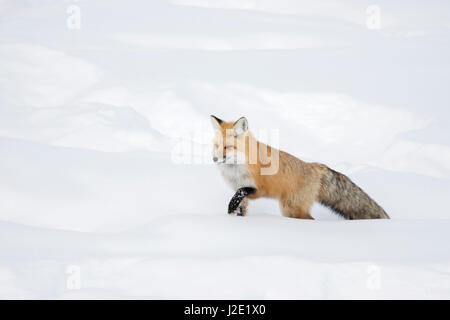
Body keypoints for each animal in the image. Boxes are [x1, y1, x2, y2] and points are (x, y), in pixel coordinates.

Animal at [211, 115, 390, 220]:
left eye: (228, 147)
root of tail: (314, 166)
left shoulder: (258, 189)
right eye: (217, 146)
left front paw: (231, 207)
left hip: (291, 208)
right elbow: (240, 207)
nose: (214, 158)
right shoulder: (241, 191)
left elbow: (240, 193)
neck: (236, 171)